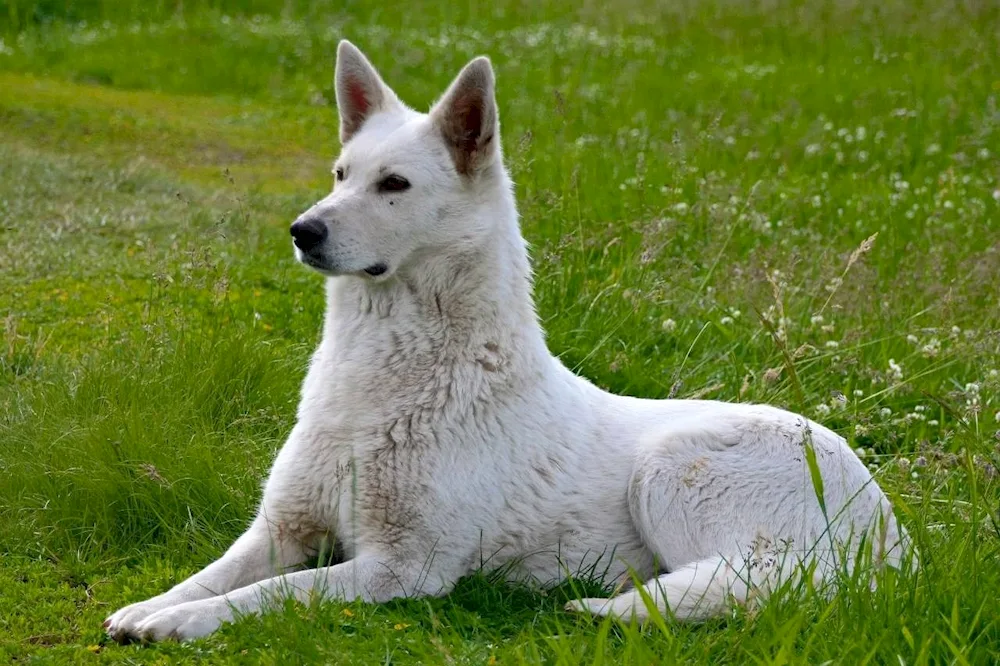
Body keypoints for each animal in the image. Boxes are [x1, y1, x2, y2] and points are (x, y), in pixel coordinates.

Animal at [105, 40, 912, 640]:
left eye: (393, 185)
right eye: (340, 174)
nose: (302, 231)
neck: (380, 377)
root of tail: (894, 536)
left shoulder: (403, 568)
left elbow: (272, 594)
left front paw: (186, 622)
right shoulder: (282, 528)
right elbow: (211, 572)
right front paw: (150, 607)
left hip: (669, 468)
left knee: (759, 584)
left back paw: (609, 605)